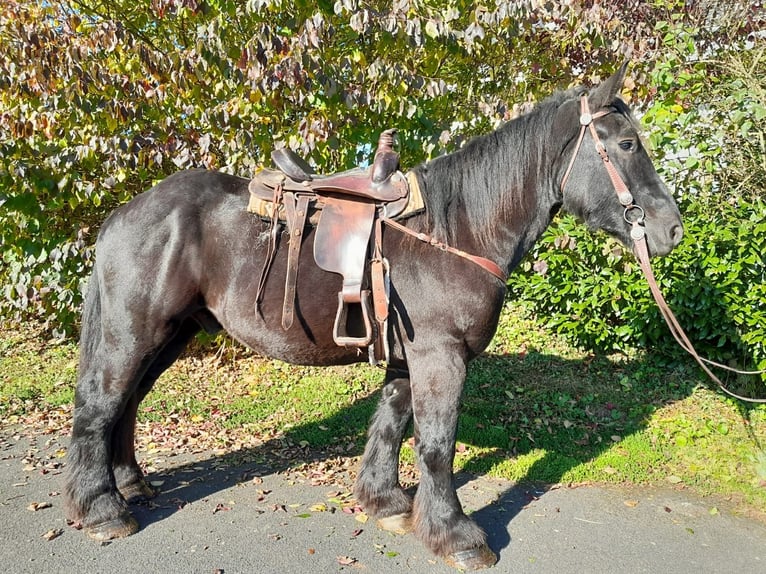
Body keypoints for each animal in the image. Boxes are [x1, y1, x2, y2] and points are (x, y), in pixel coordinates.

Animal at [64, 64, 684, 572]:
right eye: (626, 142)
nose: (671, 229)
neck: (455, 230)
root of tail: (126, 212)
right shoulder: (441, 357)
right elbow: (436, 445)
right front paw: (456, 535)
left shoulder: (412, 358)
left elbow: (391, 422)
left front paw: (385, 503)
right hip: (134, 332)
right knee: (99, 406)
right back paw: (102, 510)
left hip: (170, 334)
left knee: (125, 406)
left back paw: (130, 487)